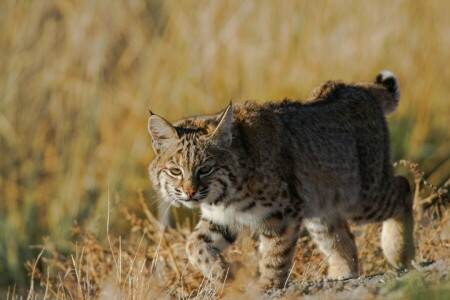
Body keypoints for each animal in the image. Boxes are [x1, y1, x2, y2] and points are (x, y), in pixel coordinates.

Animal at [148, 71, 414, 292]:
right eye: (175, 171)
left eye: (205, 169)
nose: (190, 192)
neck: (224, 195)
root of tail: (355, 86)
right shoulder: (222, 216)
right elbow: (193, 246)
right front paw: (223, 274)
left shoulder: (283, 212)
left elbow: (275, 253)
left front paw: (267, 285)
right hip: (321, 205)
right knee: (341, 237)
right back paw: (342, 275)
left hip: (362, 197)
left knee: (403, 186)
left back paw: (399, 252)